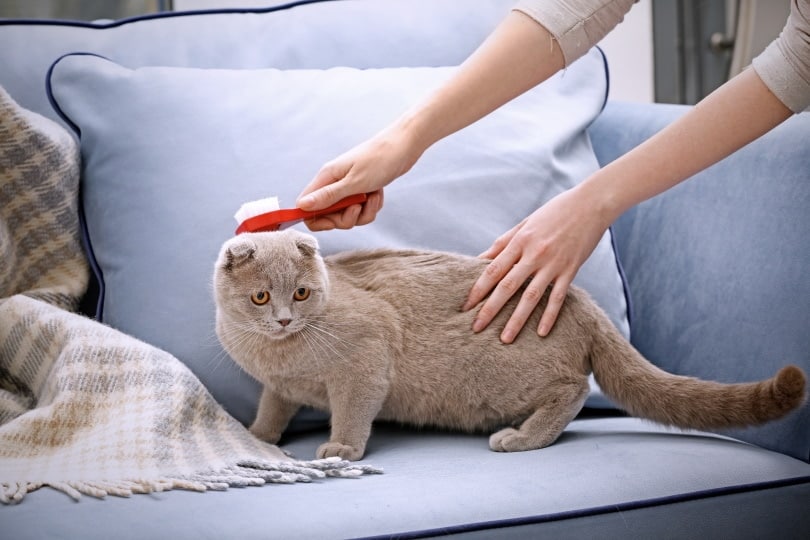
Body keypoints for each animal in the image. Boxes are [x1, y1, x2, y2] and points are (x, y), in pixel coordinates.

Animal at [211, 228, 804, 460]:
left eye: (301, 292)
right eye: (261, 296)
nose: (284, 319)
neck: (279, 355)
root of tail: (579, 298)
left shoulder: (366, 358)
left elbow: (353, 410)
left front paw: (341, 449)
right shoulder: (281, 387)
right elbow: (273, 407)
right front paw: (257, 436)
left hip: (501, 378)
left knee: (572, 387)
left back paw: (520, 438)